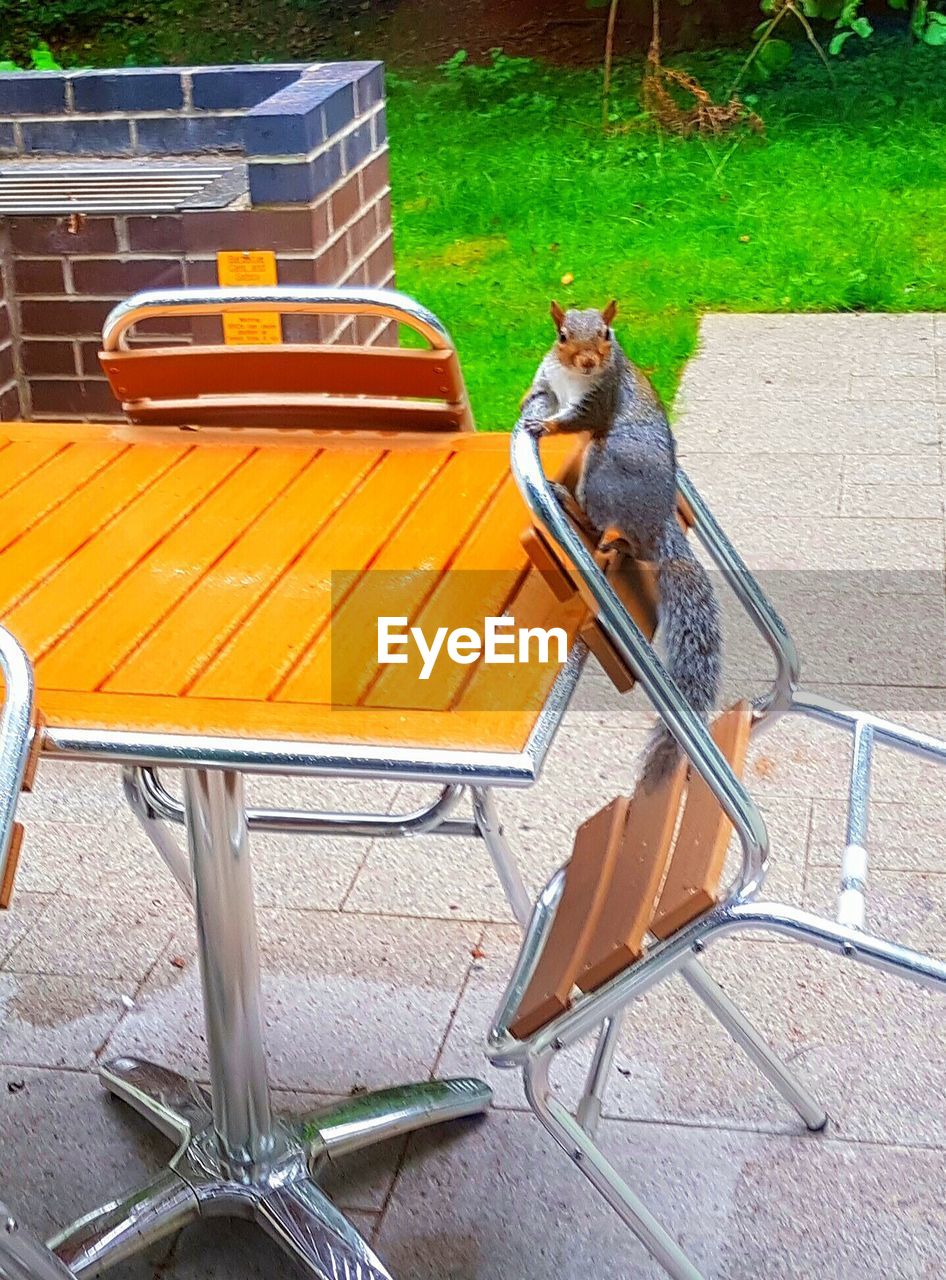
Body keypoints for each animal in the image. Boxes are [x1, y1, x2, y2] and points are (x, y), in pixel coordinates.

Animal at [522, 299, 721, 783]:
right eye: (561, 335)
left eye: (607, 334)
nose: (588, 361)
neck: (573, 379)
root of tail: (656, 526)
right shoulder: (551, 375)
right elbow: (541, 386)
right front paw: (524, 400)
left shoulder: (599, 400)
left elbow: (575, 419)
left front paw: (543, 426)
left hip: (604, 466)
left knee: (607, 529)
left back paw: (576, 510)